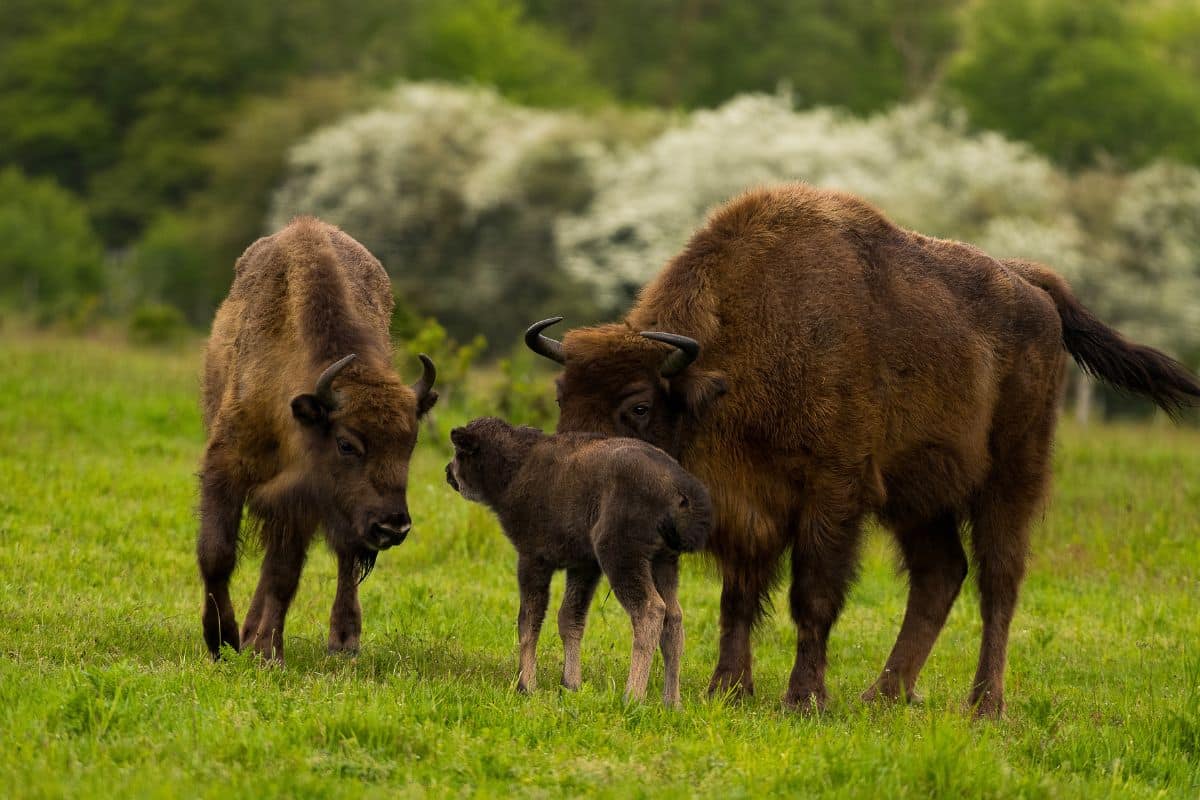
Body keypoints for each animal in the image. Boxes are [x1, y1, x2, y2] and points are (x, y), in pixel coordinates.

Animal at [198, 217, 437, 663]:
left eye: (410, 444)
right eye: (346, 444)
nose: (394, 527)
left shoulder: (305, 499)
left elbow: (284, 574)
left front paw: (266, 651)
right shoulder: (227, 468)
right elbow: (217, 555)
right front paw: (222, 638)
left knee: (343, 558)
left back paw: (342, 640)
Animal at [525, 183, 1200, 716]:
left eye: (638, 405)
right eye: (562, 395)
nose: (573, 479)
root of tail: (1032, 285)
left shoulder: (833, 493)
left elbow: (812, 597)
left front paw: (803, 699)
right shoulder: (749, 508)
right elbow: (738, 598)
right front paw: (728, 690)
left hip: (1011, 477)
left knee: (998, 582)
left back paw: (983, 706)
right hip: (919, 499)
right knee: (940, 574)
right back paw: (884, 694)